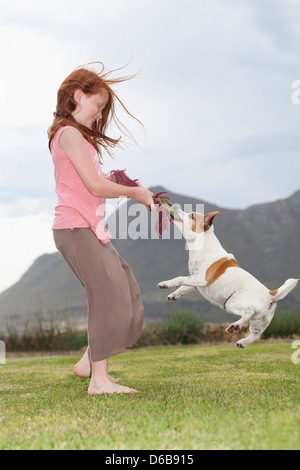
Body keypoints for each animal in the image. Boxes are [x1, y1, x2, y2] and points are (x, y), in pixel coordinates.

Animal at [157, 209, 298, 348]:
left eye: (192, 215)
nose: (175, 208)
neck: (202, 245)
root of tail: (271, 294)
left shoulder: (201, 279)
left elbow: (179, 278)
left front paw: (165, 284)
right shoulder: (195, 283)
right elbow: (183, 287)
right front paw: (173, 295)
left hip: (231, 303)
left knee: (248, 312)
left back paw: (235, 326)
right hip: (259, 322)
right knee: (255, 334)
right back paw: (241, 341)